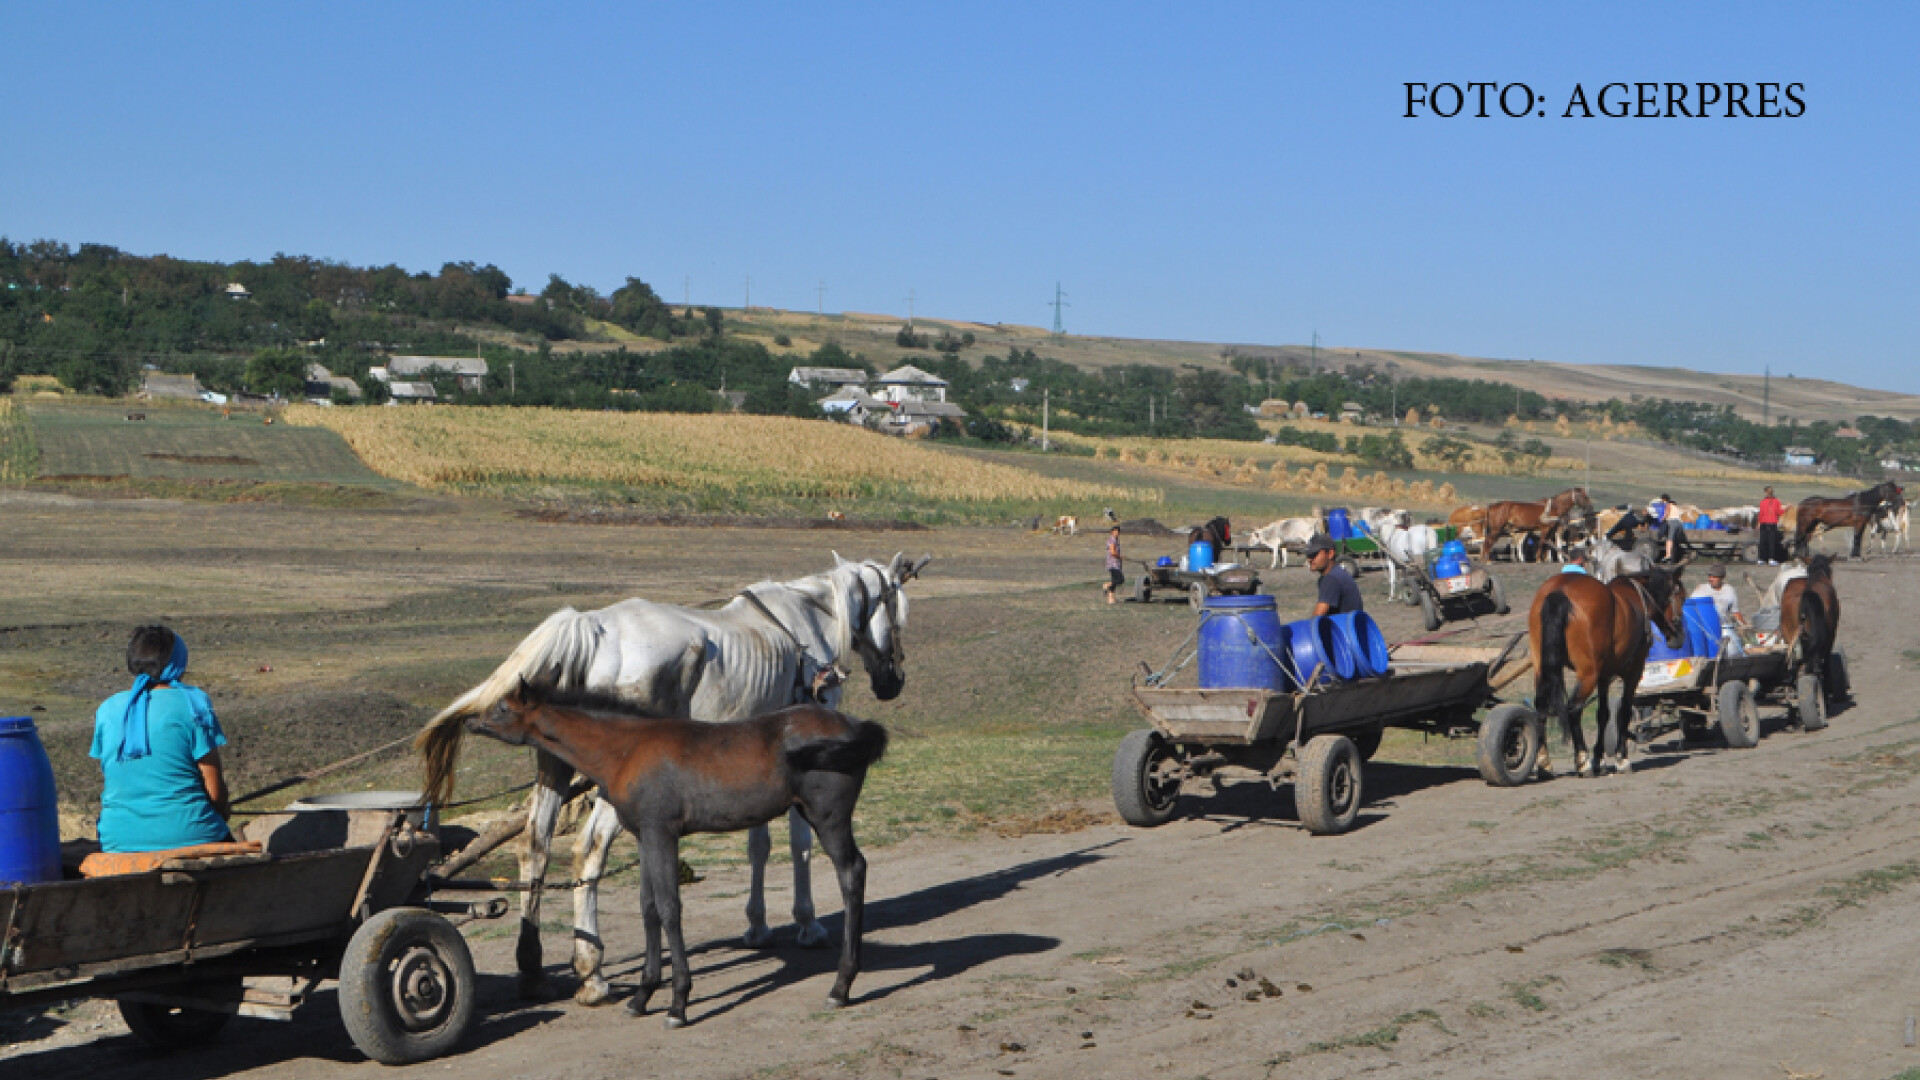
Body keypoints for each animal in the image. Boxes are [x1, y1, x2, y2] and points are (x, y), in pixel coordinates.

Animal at [468, 676, 887, 1022]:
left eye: (502, 708)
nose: (471, 723)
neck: (626, 748)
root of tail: (854, 726)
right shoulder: (644, 837)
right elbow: (649, 909)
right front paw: (642, 996)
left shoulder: (661, 834)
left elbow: (670, 909)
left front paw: (678, 1003)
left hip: (828, 818)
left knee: (852, 873)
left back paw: (841, 987)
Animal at [1528, 564, 1681, 772]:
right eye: (1680, 594)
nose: (1679, 635)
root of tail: (1559, 591)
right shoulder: (1633, 672)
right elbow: (1624, 712)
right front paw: (1621, 757)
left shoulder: (1604, 676)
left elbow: (1603, 714)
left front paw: (1599, 757)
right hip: (1588, 675)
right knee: (1574, 708)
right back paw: (1582, 760)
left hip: (1542, 670)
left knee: (1541, 707)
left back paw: (1544, 762)